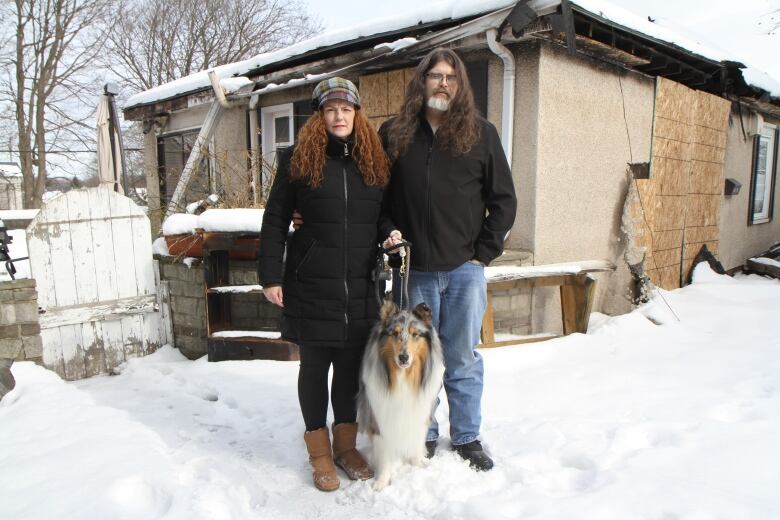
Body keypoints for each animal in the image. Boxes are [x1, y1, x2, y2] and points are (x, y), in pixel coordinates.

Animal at [358, 298, 444, 490]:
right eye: (395, 333)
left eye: (415, 334)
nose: (403, 357)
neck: (403, 377)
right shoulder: (381, 419)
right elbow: (384, 453)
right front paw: (381, 482)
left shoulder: (419, 414)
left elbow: (417, 441)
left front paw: (418, 464)